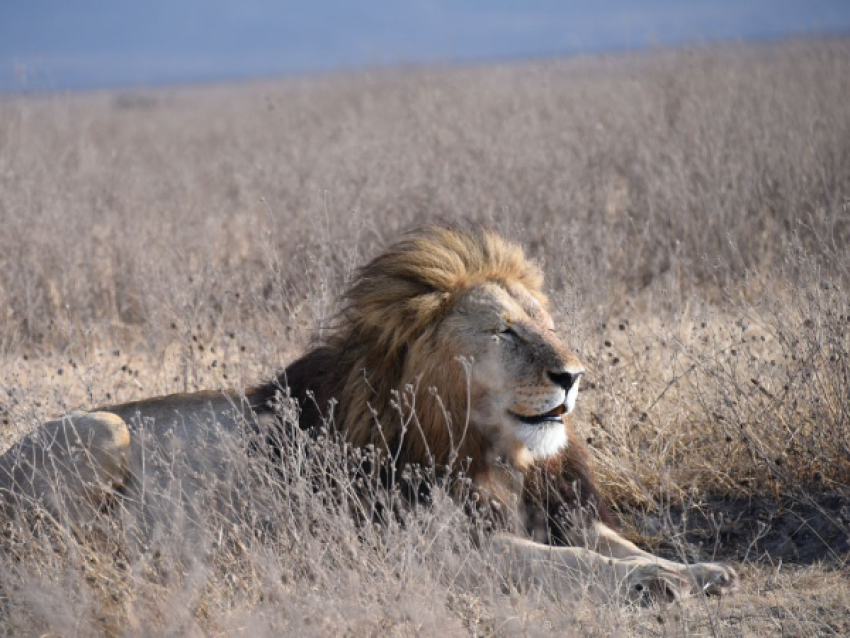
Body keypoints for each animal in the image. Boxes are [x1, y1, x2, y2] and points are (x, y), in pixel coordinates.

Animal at [0, 225, 737, 604]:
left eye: (545, 324)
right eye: (504, 332)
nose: (573, 376)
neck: (495, 451)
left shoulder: (556, 507)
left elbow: (615, 544)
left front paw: (696, 570)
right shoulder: (440, 549)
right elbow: (574, 565)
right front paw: (654, 581)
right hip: (104, 429)